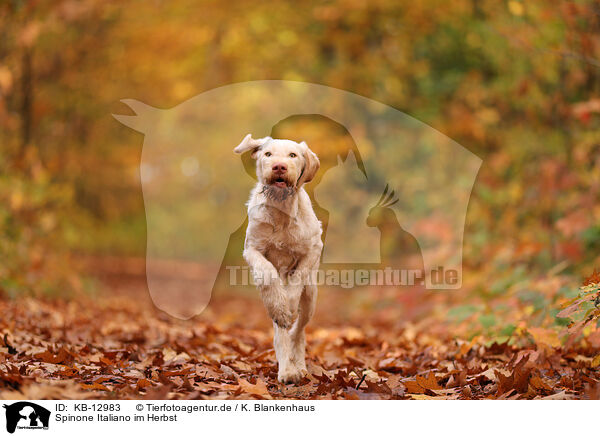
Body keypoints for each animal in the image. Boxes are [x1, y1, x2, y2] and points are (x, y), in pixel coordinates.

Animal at [233, 133, 324, 382]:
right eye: (268, 154)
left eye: (292, 155)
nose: (279, 166)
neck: (281, 209)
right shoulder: (252, 249)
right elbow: (267, 274)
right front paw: (280, 308)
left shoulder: (313, 249)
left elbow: (296, 280)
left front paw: (289, 305)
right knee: (281, 333)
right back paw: (287, 371)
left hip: (311, 297)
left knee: (298, 331)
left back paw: (298, 365)